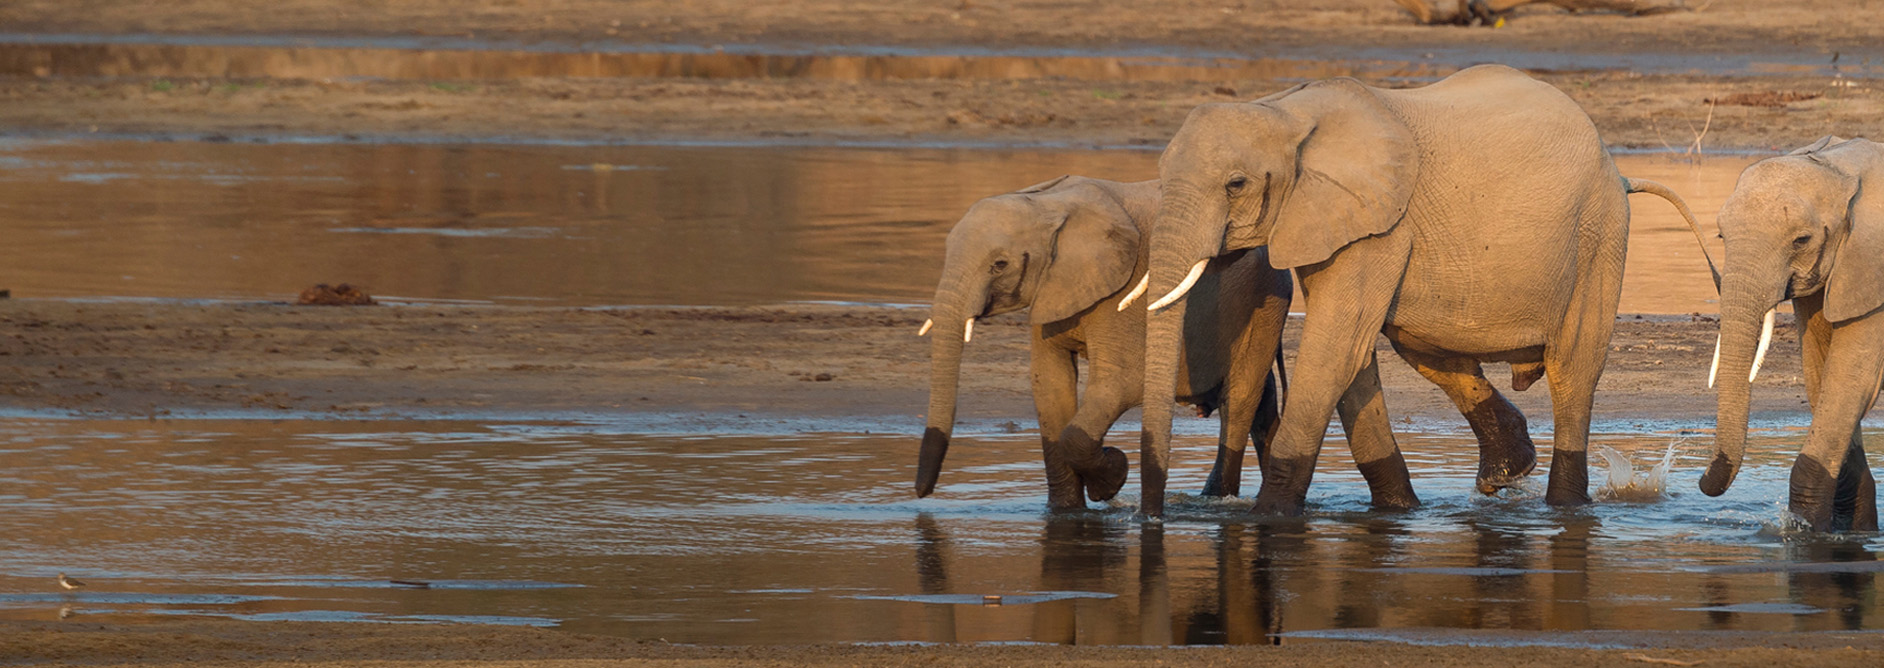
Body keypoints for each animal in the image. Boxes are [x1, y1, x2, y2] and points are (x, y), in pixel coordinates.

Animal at [911, 174, 1296, 511]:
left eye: (999, 264)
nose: (920, 492)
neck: (1050, 204)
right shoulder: (1051, 289)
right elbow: (1049, 384)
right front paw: (1065, 512)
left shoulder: (1123, 290)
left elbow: (1120, 383)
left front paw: (1111, 480)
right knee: (1262, 404)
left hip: (1266, 303)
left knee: (1240, 400)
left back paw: (1216, 501)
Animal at [1130, 63, 1710, 519]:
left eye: (1236, 185)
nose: (1151, 517)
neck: (1285, 109)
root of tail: (1619, 170)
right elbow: (1352, 355)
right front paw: (1397, 513)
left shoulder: (1380, 225)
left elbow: (1335, 348)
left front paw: (1268, 518)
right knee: (1424, 346)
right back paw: (1504, 474)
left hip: (1598, 234)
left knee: (1574, 369)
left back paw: (1564, 506)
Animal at [1710, 137, 1884, 534]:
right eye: (1721, 236)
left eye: (1801, 240)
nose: (1704, 481)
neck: (1842, 167)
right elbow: (1821, 374)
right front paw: (1852, 529)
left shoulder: (1872, 269)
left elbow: (1852, 377)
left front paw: (1806, 531)